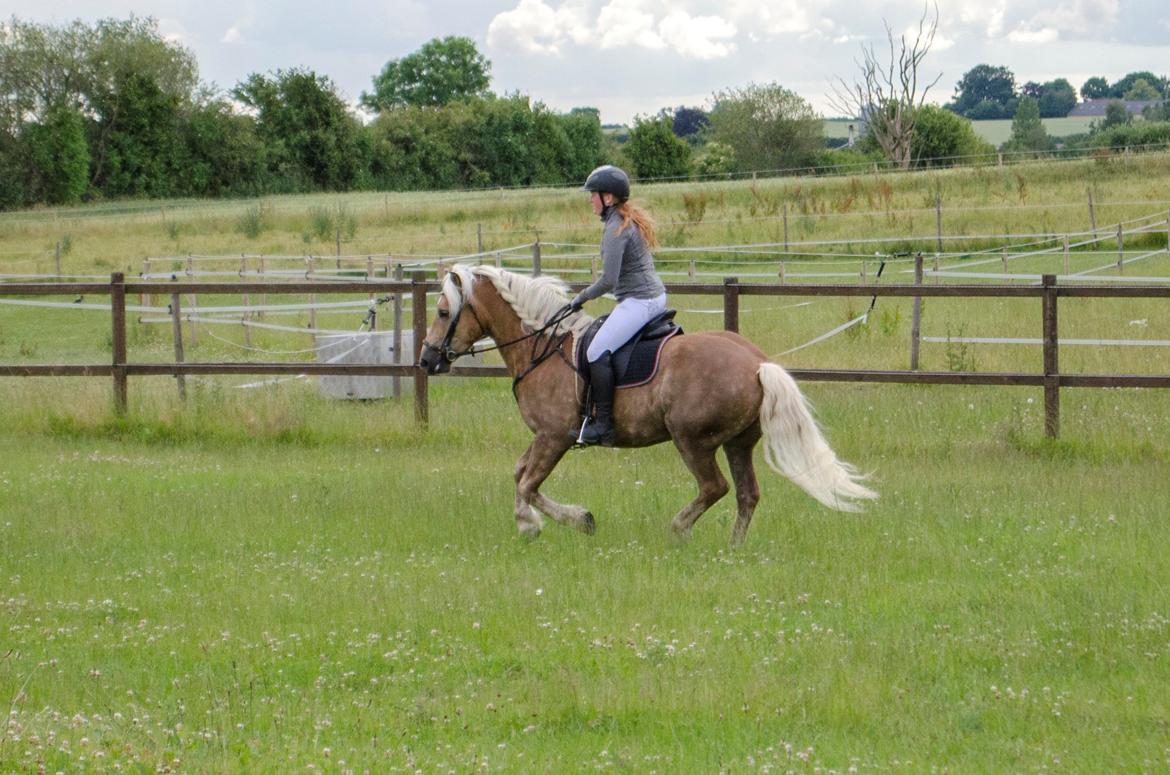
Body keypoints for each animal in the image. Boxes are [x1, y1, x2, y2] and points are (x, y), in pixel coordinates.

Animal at [416, 266, 875, 545]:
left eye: (442, 311)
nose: (426, 360)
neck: (542, 346)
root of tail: (758, 363)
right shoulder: (546, 437)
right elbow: (518, 474)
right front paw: (528, 525)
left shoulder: (554, 436)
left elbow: (529, 483)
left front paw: (573, 520)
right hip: (737, 443)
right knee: (747, 494)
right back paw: (733, 549)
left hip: (692, 439)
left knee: (715, 487)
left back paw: (679, 531)